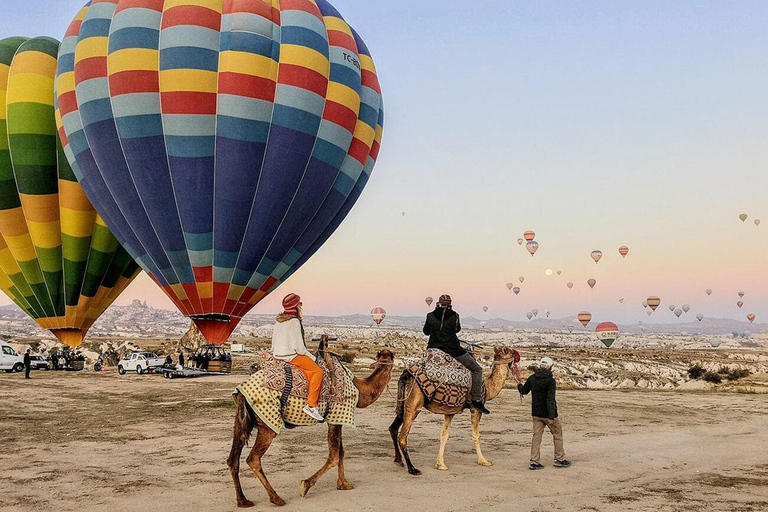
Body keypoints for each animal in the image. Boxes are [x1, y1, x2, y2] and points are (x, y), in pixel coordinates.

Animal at [225, 336, 392, 508]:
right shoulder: (336, 416)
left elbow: (341, 452)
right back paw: (276, 498)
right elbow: (334, 456)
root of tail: (242, 390)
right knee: (253, 459)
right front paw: (305, 486)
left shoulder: (337, 419)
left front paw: (344, 484)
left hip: (243, 421)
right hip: (267, 422)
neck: (359, 389)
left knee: (233, 459)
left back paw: (242, 500)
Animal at [390, 346, 516, 474]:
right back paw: (412, 468)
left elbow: (444, 435)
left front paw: (440, 464)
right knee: (402, 437)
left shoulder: (450, 410)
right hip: (414, 404)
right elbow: (476, 436)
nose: (516, 357)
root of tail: (406, 374)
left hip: (403, 403)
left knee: (393, 428)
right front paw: (484, 461)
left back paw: (398, 460)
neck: (488, 385)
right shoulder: (476, 408)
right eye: (510, 352)